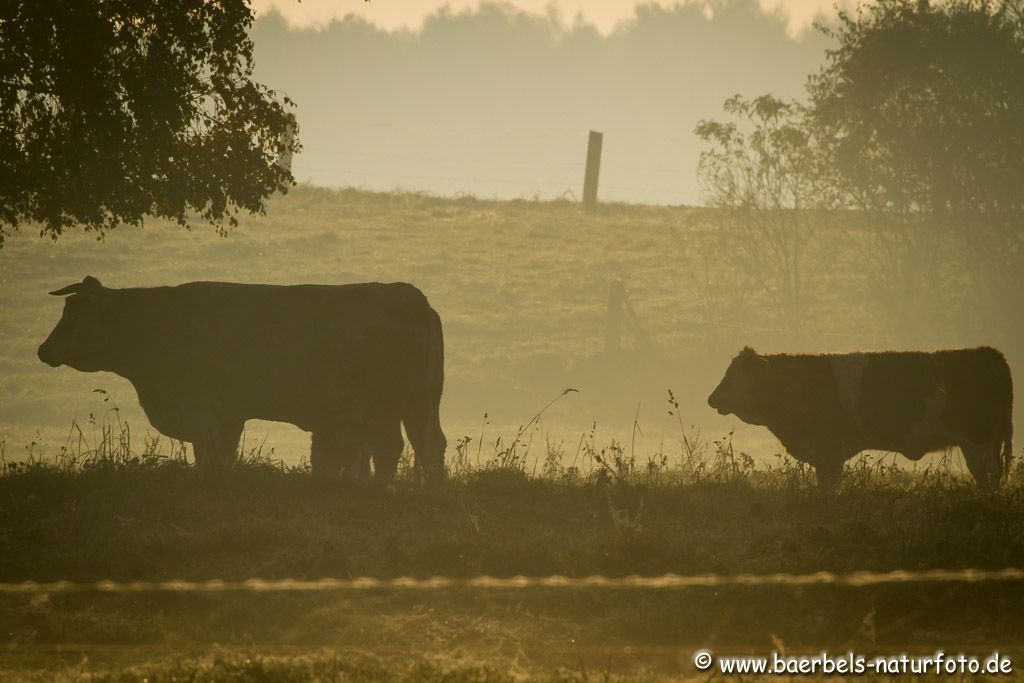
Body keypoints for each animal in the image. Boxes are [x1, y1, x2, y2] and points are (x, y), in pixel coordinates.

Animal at [37, 276, 446, 481]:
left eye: (76, 313)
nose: (43, 350)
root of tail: (408, 293)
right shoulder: (229, 415)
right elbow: (225, 457)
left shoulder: (201, 411)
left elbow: (209, 458)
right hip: (423, 402)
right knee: (431, 445)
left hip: (384, 407)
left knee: (390, 447)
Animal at [708, 348, 1011, 491]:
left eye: (733, 376)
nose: (712, 398)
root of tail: (989, 353)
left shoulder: (829, 450)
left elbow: (828, 485)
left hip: (977, 440)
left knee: (989, 473)